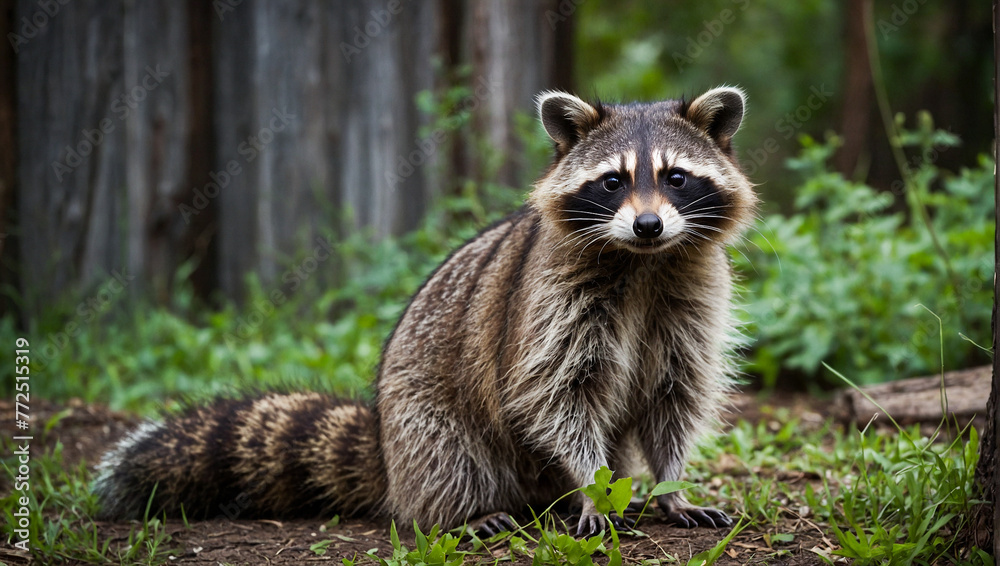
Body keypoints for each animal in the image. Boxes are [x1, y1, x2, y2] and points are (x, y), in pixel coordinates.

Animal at [94, 86, 756, 538]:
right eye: (613, 181)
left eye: (675, 177)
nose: (648, 225)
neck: (642, 262)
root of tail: (387, 454)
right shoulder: (551, 304)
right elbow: (557, 398)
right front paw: (594, 489)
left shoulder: (689, 299)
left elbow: (674, 397)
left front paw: (669, 486)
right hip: (422, 415)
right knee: (447, 456)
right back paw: (464, 512)